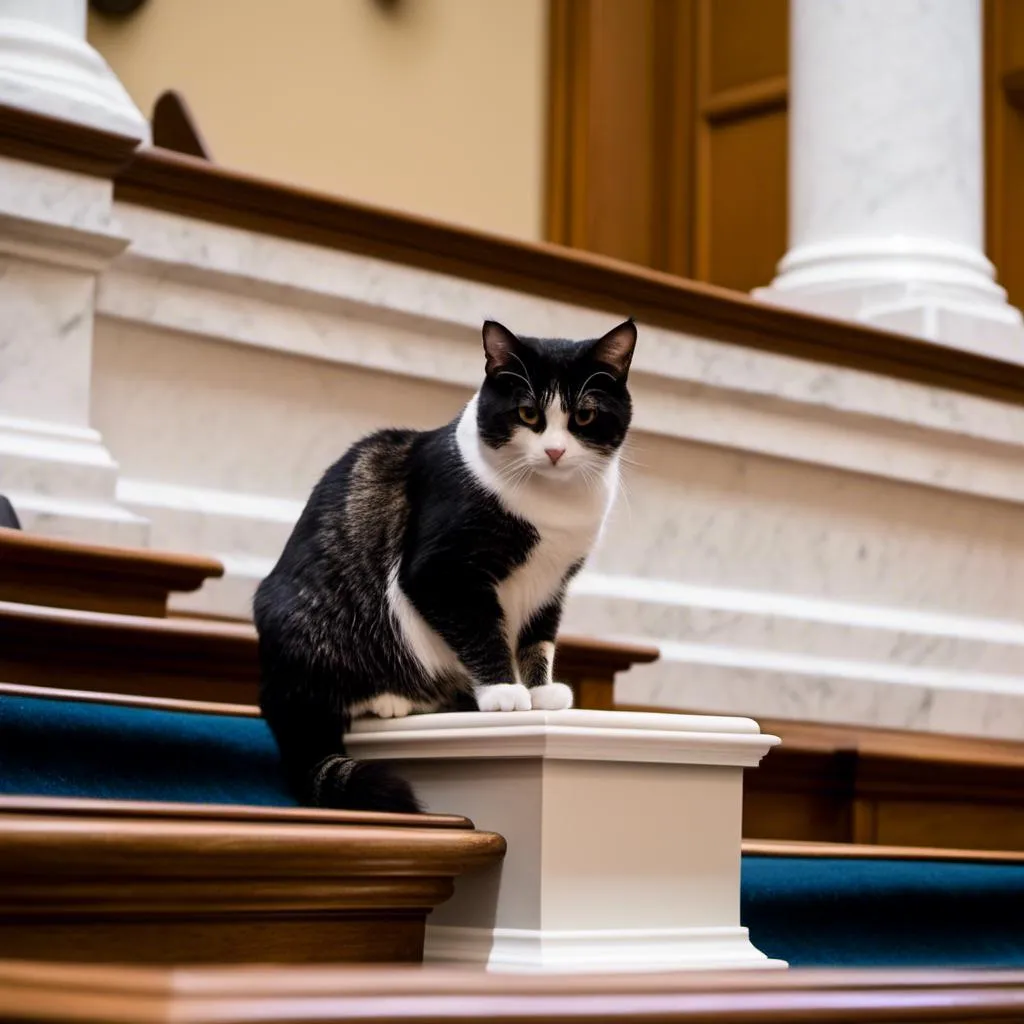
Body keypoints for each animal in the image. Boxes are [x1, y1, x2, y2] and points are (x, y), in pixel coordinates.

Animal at [251, 315, 634, 811]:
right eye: (528, 414)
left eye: (584, 416)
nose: (555, 451)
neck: (552, 506)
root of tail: (274, 688)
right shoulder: (441, 572)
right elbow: (481, 630)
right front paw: (504, 692)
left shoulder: (552, 581)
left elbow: (538, 637)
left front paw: (540, 690)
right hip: (309, 623)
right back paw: (389, 698)